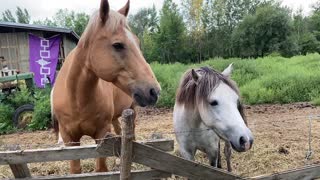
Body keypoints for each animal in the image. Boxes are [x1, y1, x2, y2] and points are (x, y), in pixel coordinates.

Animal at [52, 0, 160, 174]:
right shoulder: (70, 139)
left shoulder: (102, 135)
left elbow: (101, 169)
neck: (77, 100)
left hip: (132, 110)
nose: (154, 91)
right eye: (118, 45)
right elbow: (76, 170)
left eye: (137, 43)